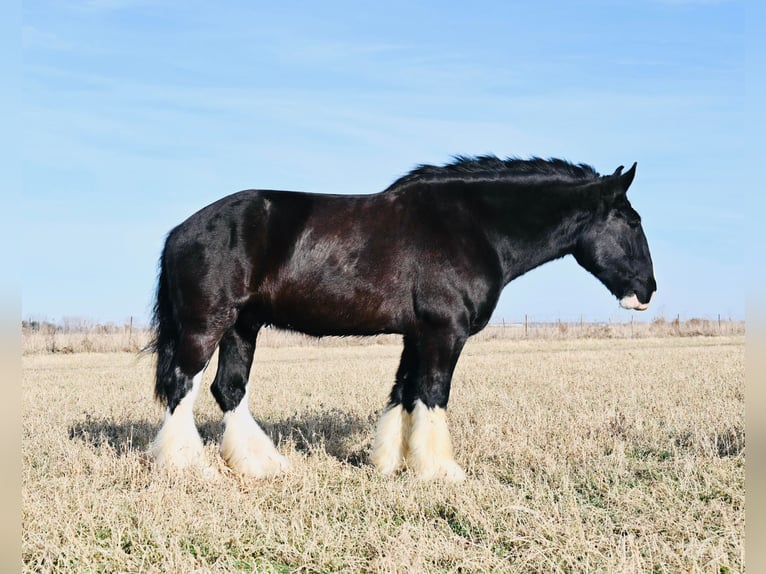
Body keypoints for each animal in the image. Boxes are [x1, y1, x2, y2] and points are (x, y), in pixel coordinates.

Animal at [149, 155, 656, 481]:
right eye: (632, 222)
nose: (647, 291)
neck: (474, 227)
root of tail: (180, 231)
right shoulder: (444, 332)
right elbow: (432, 394)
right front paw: (440, 471)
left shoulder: (417, 334)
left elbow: (403, 393)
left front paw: (391, 462)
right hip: (207, 324)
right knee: (182, 385)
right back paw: (189, 466)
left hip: (243, 327)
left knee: (228, 389)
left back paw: (261, 465)